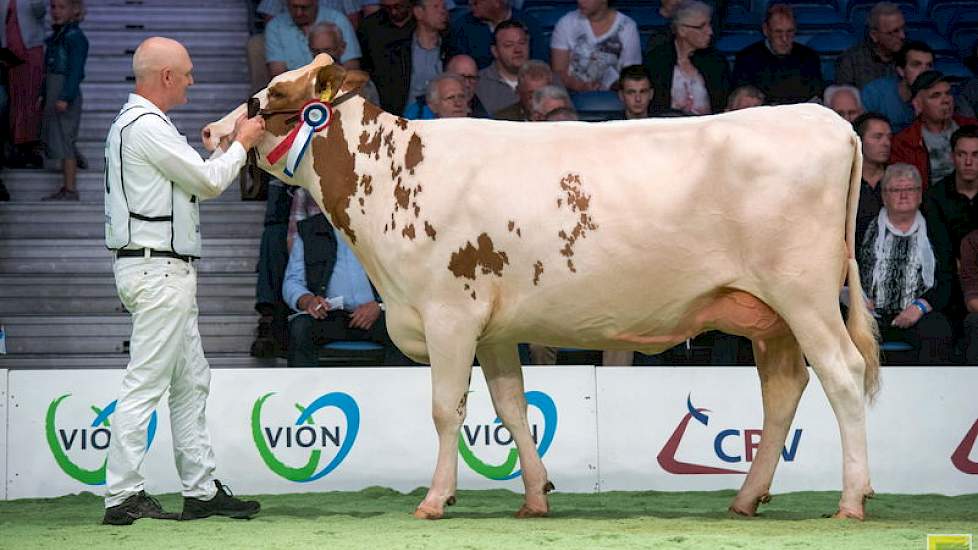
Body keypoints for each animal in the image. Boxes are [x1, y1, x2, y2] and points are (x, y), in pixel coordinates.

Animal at [202, 55, 880, 520]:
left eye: (267, 97)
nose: (209, 133)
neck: (392, 176)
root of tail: (822, 118)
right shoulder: (493, 326)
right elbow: (511, 408)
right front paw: (534, 496)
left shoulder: (449, 313)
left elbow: (446, 409)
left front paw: (436, 499)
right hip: (768, 313)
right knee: (784, 390)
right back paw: (746, 498)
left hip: (804, 295)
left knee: (843, 376)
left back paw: (851, 500)